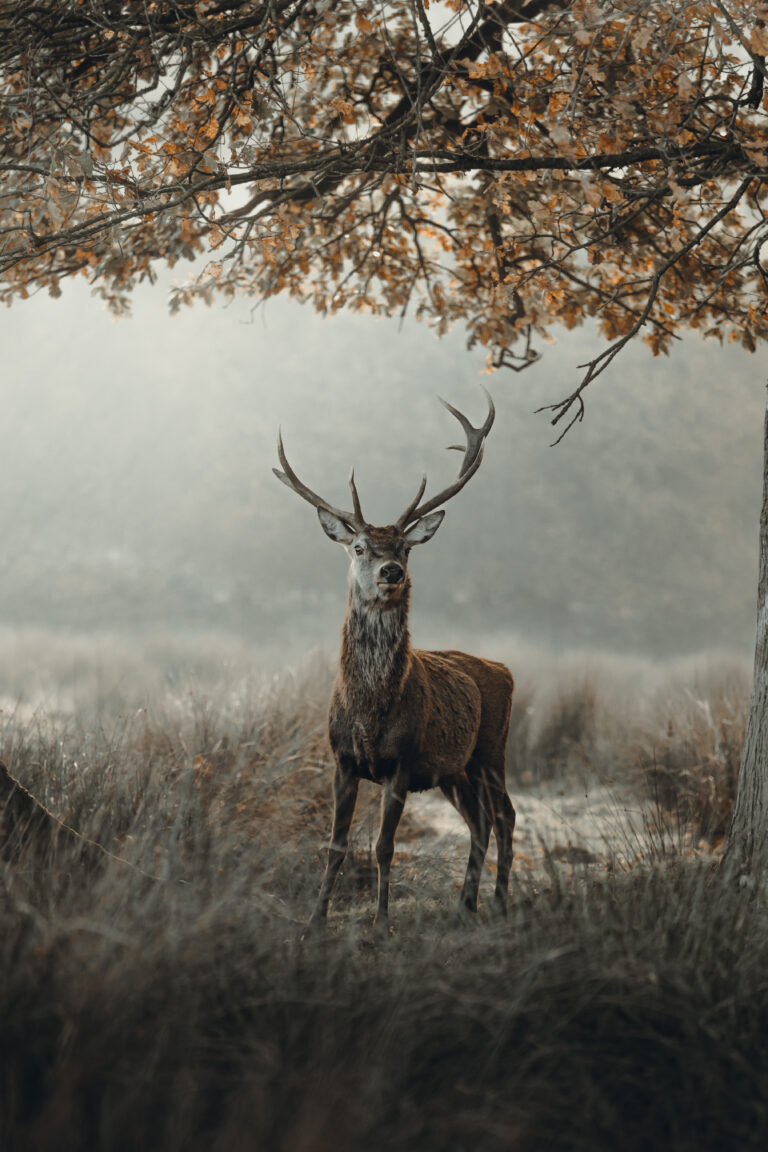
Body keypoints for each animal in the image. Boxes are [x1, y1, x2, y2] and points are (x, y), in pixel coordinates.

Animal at [273, 387, 515, 931]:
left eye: (405, 547)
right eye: (359, 546)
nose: (391, 571)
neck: (369, 711)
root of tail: (504, 669)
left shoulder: (401, 762)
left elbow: (384, 847)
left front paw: (382, 923)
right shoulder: (342, 759)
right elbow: (336, 845)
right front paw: (315, 922)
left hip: (492, 748)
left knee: (505, 815)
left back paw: (499, 903)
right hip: (455, 770)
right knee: (481, 820)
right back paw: (465, 904)